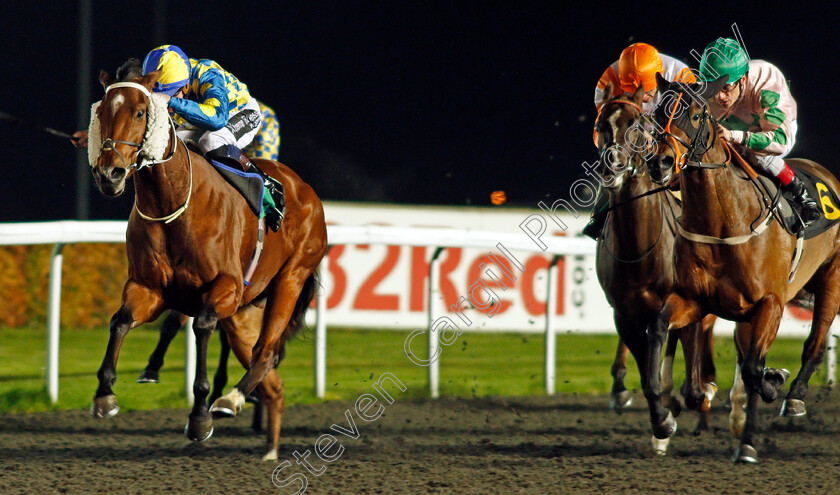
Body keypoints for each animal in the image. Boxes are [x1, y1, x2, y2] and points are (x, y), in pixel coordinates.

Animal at [89, 67, 328, 462]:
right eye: (101, 111)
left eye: (140, 112)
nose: (110, 175)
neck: (172, 203)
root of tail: (305, 189)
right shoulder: (148, 288)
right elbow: (120, 321)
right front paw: (105, 395)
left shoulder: (224, 288)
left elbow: (201, 326)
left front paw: (200, 416)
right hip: (244, 315)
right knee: (273, 384)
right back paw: (269, 450)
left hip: (289, 279)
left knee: (266, 353)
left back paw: (231, 399)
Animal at [592, 84, 720, 454]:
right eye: (602, 125)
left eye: (637, 124)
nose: (613, 166)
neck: (640, 248)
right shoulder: (625, 312)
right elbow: (647, 374)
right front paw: (661, 421)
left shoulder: (687, 305)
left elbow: (689, 382)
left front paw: (691, 399)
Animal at [648, 71, 840, 464]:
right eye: (657, 115)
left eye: (694, 115)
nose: (660, 164)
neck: (725, 220)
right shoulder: (694, 300)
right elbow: (659, 333)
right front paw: (662, 421)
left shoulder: (771, 303)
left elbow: (753, 369)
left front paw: (773, 383)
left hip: (832, 277)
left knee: (813, 344)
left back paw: (792, 399)